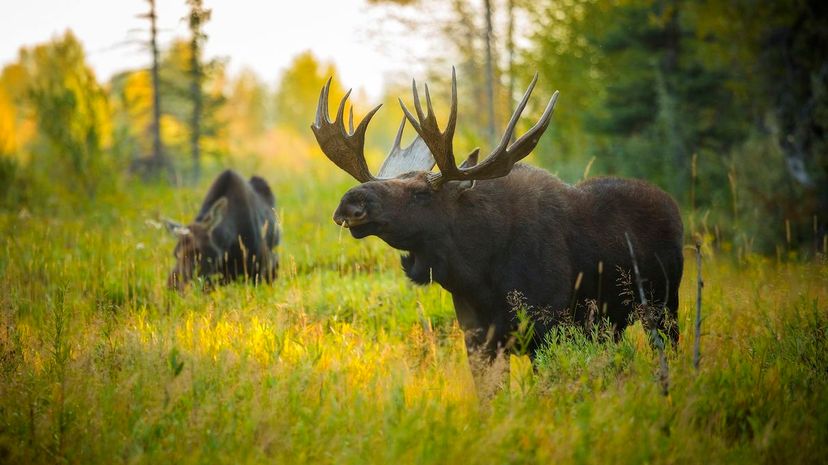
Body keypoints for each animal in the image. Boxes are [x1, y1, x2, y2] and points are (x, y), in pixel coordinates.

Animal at [312, 68, 684, 380]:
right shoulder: (477, 337)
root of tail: (674, 207)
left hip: (664, 304)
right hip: (613, 322)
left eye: (420, 193)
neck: (478, 273)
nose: (350, 203)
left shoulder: (547, 327)